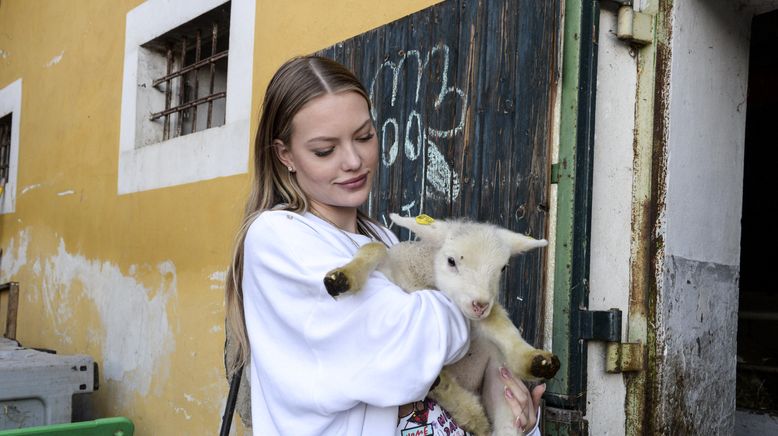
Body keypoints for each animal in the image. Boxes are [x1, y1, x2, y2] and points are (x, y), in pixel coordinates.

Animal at [322, 214, 556, 436]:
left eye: (503, 268)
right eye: (451, 261)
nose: (480, 305)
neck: (424, 279)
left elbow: (498, 321)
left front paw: (532, 359)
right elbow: (375, 247)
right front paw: (344, 277)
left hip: (499, 379)